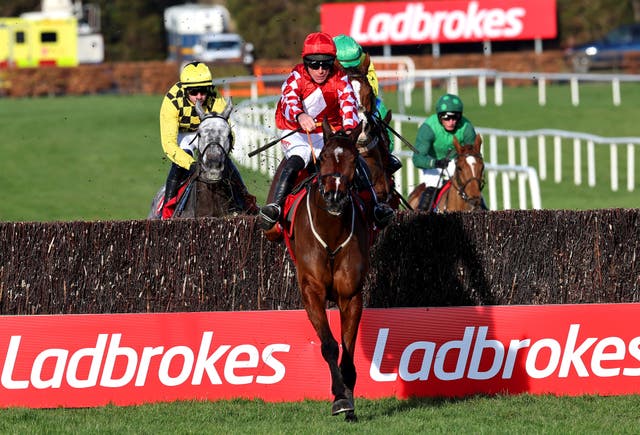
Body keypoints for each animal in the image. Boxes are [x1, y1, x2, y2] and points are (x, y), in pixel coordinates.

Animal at [286, 118, 370, 422]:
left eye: (354, 159)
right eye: (322, 157)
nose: (334, 196)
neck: (332, 233)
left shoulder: (351, 294)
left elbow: (348, 348)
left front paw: (349, 400)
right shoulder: (311, 290)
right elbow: (330, 345)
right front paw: (339, 398)